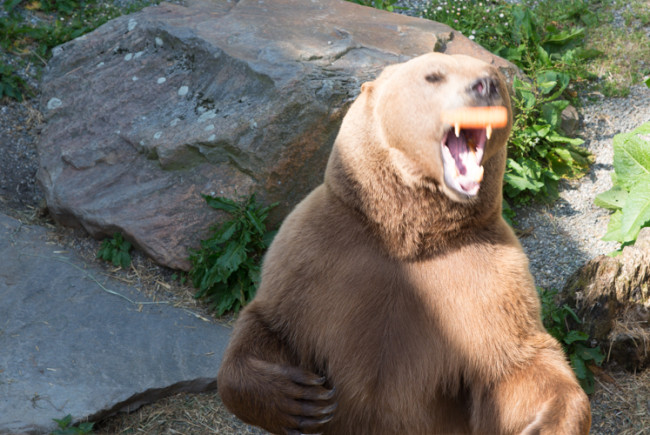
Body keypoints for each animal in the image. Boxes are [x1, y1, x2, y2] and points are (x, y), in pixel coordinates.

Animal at [215, 52, 588, 434]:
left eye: (497, 76)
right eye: (434, 76)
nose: (485, 85)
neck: (405, 239)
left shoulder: (489, 283)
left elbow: (516, 367)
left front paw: (549, 423)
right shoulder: (315, 256)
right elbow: (271, 326)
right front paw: (300, 399)